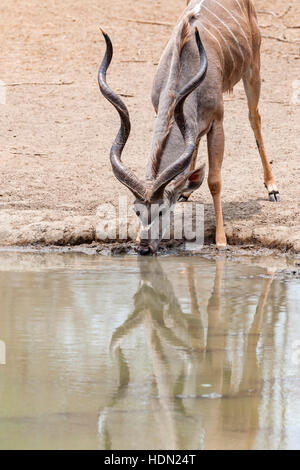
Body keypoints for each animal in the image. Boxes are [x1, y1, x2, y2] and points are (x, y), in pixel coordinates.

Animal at [98, 0, 278, 255]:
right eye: (136, 210)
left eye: (162, 210)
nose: (144, 248)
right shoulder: (164, 110)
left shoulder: (217, 123)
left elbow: (214, 181)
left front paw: (221, 239)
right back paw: (186, 189)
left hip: (253, 68)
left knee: (255, 117)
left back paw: (272, 187)